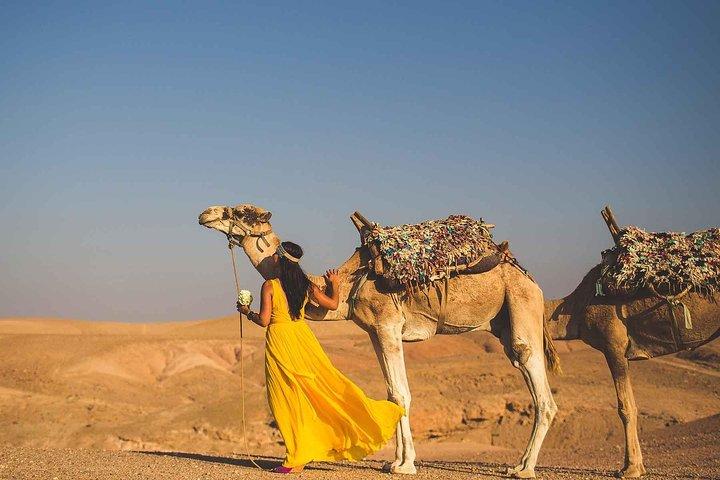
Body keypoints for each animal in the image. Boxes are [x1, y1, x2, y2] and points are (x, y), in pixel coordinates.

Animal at [198, 203, 561, 478]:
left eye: (242, 212)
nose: (206, 213)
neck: (349, 283)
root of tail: (529, 277)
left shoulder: (388, 325)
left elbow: (401, 394)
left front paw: (405, 466)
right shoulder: (374, 332)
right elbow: (391, 393)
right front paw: (394, 461)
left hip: (521, 302)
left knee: (537, 380)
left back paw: (524, 469)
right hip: (504, 320)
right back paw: (521, 464)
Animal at [545, 260, 720, 477]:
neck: (575, 308)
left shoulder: (614, 347)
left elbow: (625, 408)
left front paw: (630, 468)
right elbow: (632, 405)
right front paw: (638, 466)